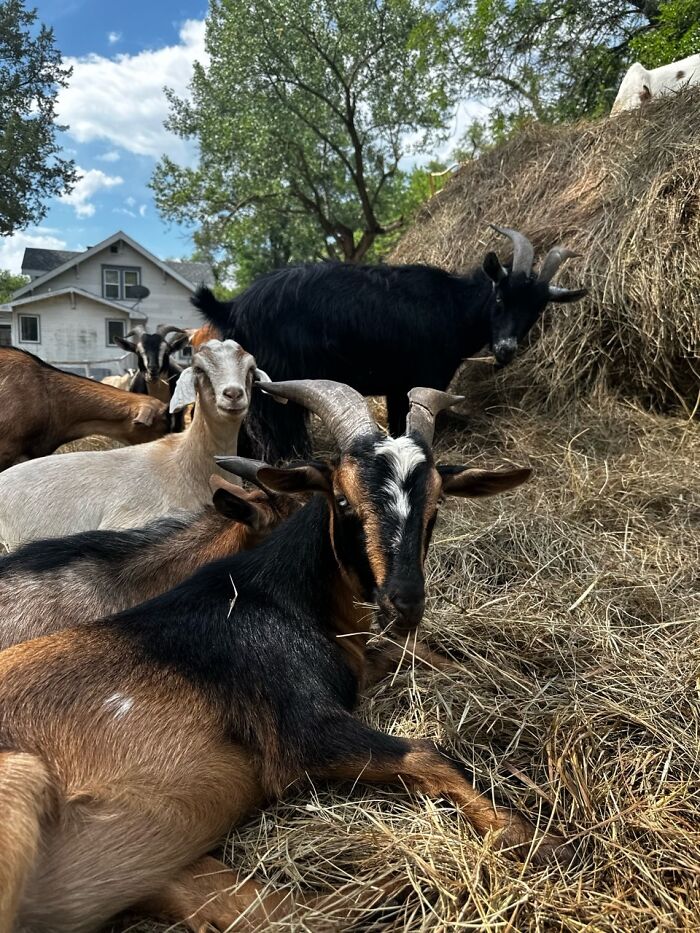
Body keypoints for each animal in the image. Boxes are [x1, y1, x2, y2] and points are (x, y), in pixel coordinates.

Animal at [193, 225, 587, 460]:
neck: (453, 306)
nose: (506, 349)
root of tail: (233, 305)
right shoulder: (420, 380)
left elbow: (399, 424)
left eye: (536, 311)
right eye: (501, 297)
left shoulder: (398, 386)